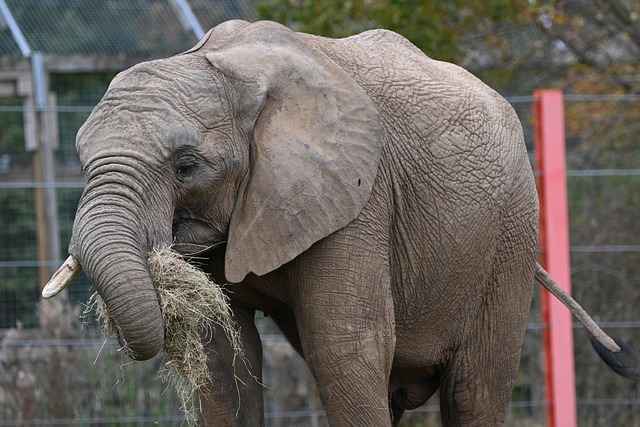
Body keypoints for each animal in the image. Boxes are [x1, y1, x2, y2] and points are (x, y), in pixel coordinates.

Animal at [43, 20, 639, 426]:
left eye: (185, 165)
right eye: (79, 158)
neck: (226, 67)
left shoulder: (360, 196)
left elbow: (345, 346)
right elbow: (222, 356)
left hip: (510, 234)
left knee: (474, 387)